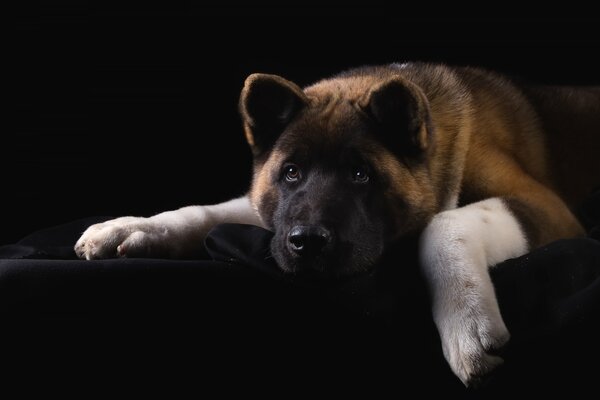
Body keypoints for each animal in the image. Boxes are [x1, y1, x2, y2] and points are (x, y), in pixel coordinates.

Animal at [75, 64, 600, 386]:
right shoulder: (267, 214)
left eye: (360, 174)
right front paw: (130, 228)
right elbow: (207, 211)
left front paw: (466, 320)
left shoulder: (546, 207)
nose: (306, 242)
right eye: (290, 173)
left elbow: (444, 223)